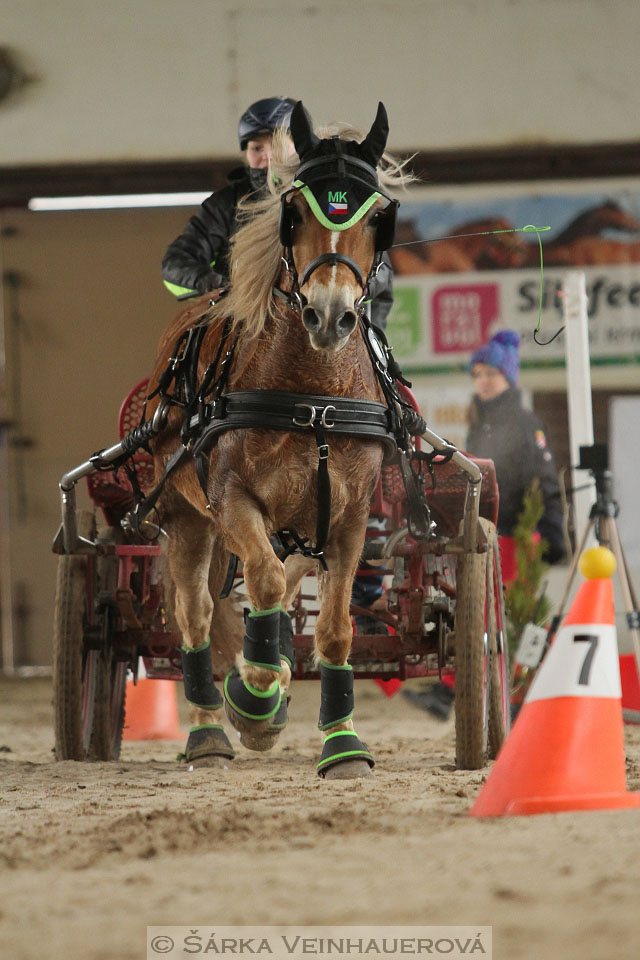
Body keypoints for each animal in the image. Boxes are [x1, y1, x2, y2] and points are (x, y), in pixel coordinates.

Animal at [146, 103, 410, 780]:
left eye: (378, 215)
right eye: (295, 212)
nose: (330, 315)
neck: (311, 394)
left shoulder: (347, 515)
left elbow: (335, 626)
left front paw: (342, 743)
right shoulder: (231, 499)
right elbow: (260, 585)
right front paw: (254, 696)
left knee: (288, 582)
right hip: (186, 514)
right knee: (198, 614)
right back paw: (211, 728)